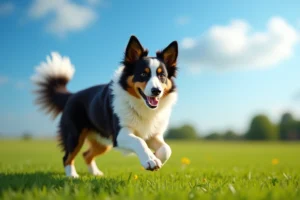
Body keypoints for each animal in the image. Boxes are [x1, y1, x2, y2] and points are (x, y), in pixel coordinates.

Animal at [32, 35, 178, 177]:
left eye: (162, 75)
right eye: (143, 74)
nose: (156, 91)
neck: (141, 105)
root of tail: (71, 96)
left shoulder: (154, 134)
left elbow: (167, 149)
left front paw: (156, 157)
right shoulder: (119, 134)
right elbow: (139, 141)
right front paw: (150, 160)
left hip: (102, 142)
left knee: (86, 155)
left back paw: (95, 173)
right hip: (74, 136)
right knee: (67, 157)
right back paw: (72, 175)